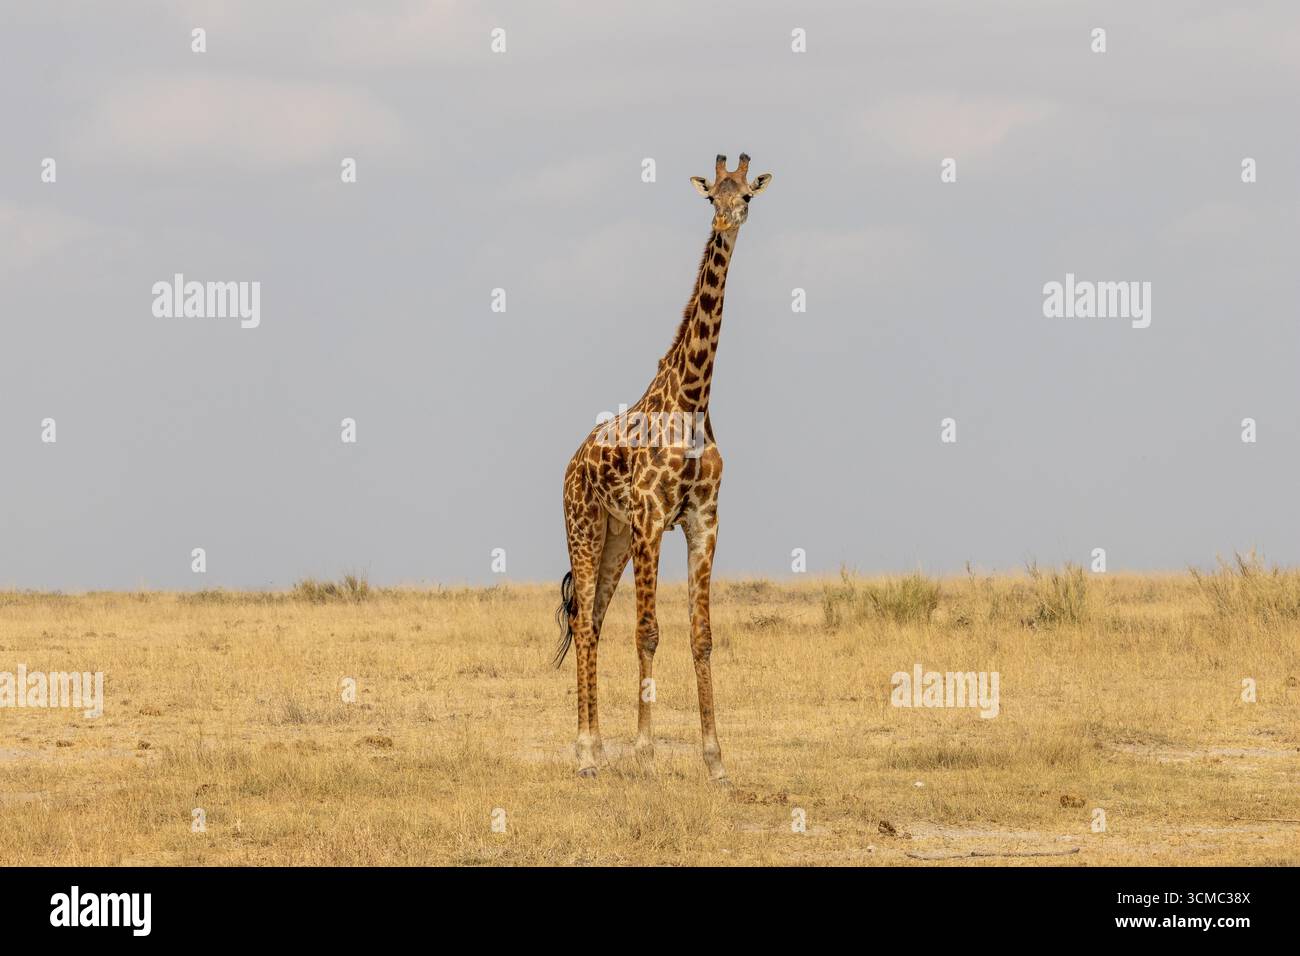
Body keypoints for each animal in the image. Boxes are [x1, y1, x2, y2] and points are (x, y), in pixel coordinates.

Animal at [555, 152, 772, 780]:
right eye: (711, 198)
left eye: (748, 195)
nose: (726, 223)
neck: (693, 399)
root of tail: (570, 465)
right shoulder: (653, 518)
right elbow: (649, 633)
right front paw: (646, 752)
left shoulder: (703, 521)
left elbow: (701, 636)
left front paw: (715, 759)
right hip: (584, 527)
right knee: (585, 624)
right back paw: (586, 752)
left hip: (613, 538)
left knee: (594, 622)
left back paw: (596, 749)